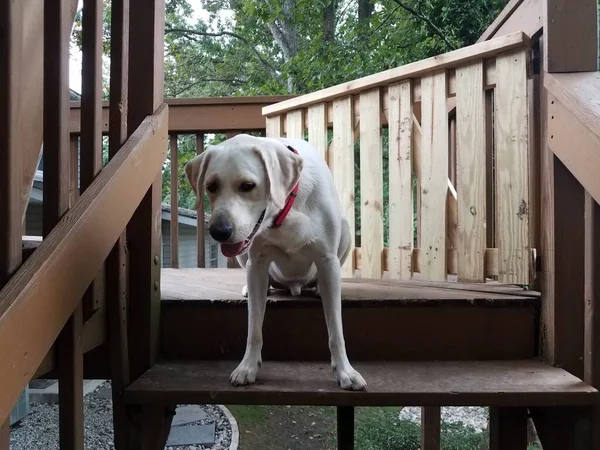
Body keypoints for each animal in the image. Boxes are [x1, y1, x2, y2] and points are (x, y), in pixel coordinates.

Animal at [186, 134, 366, 390]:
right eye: (211, 186)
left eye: (247, 186)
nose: (219, 231)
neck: (284, 211)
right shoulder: (257, 264)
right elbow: (254, 328)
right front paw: (248, 366)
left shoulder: (327, 260)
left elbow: (336, 331)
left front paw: (345, 371)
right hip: (245, 255)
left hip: (346, 229)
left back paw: (318, 288)